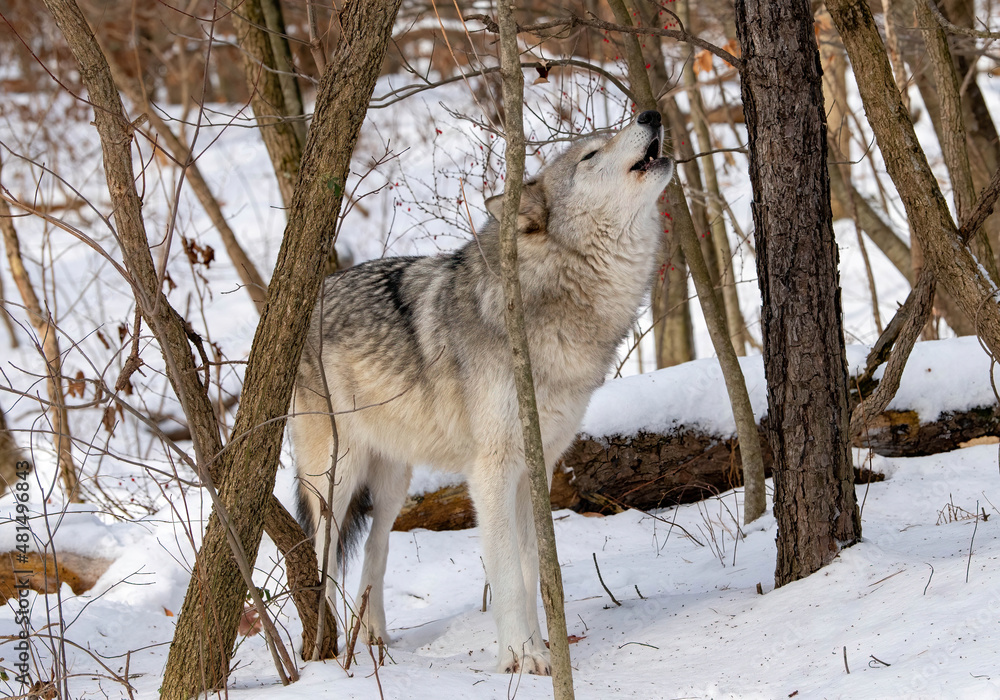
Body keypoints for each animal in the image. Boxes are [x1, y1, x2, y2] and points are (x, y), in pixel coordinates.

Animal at [290, 110, 674, 675]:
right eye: (590, 154)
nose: (650, 114)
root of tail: (308, 307)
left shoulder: (533, 468)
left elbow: (531, 570)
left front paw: (540, 649)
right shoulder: (491, 472)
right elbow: (509, 576)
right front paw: (521, 658)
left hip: (393, 485)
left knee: (375, 555)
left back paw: (377, 643)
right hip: (334, 483)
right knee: (324, 560)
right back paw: (328, 653)